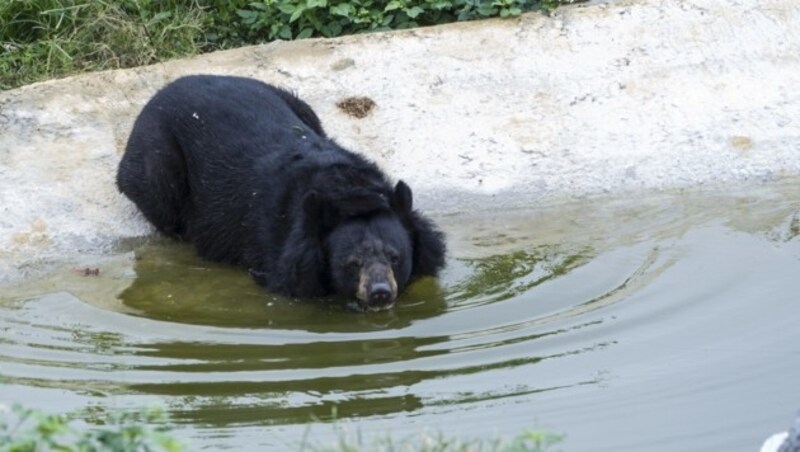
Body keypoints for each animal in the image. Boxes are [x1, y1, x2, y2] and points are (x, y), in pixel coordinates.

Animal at [116, 75, 446, 310]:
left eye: (395, 257)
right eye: (352, 264)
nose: (380, 293)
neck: (348, 191)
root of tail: (164, 89)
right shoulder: (285, 248)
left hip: (297, 103)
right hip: (157, 156)